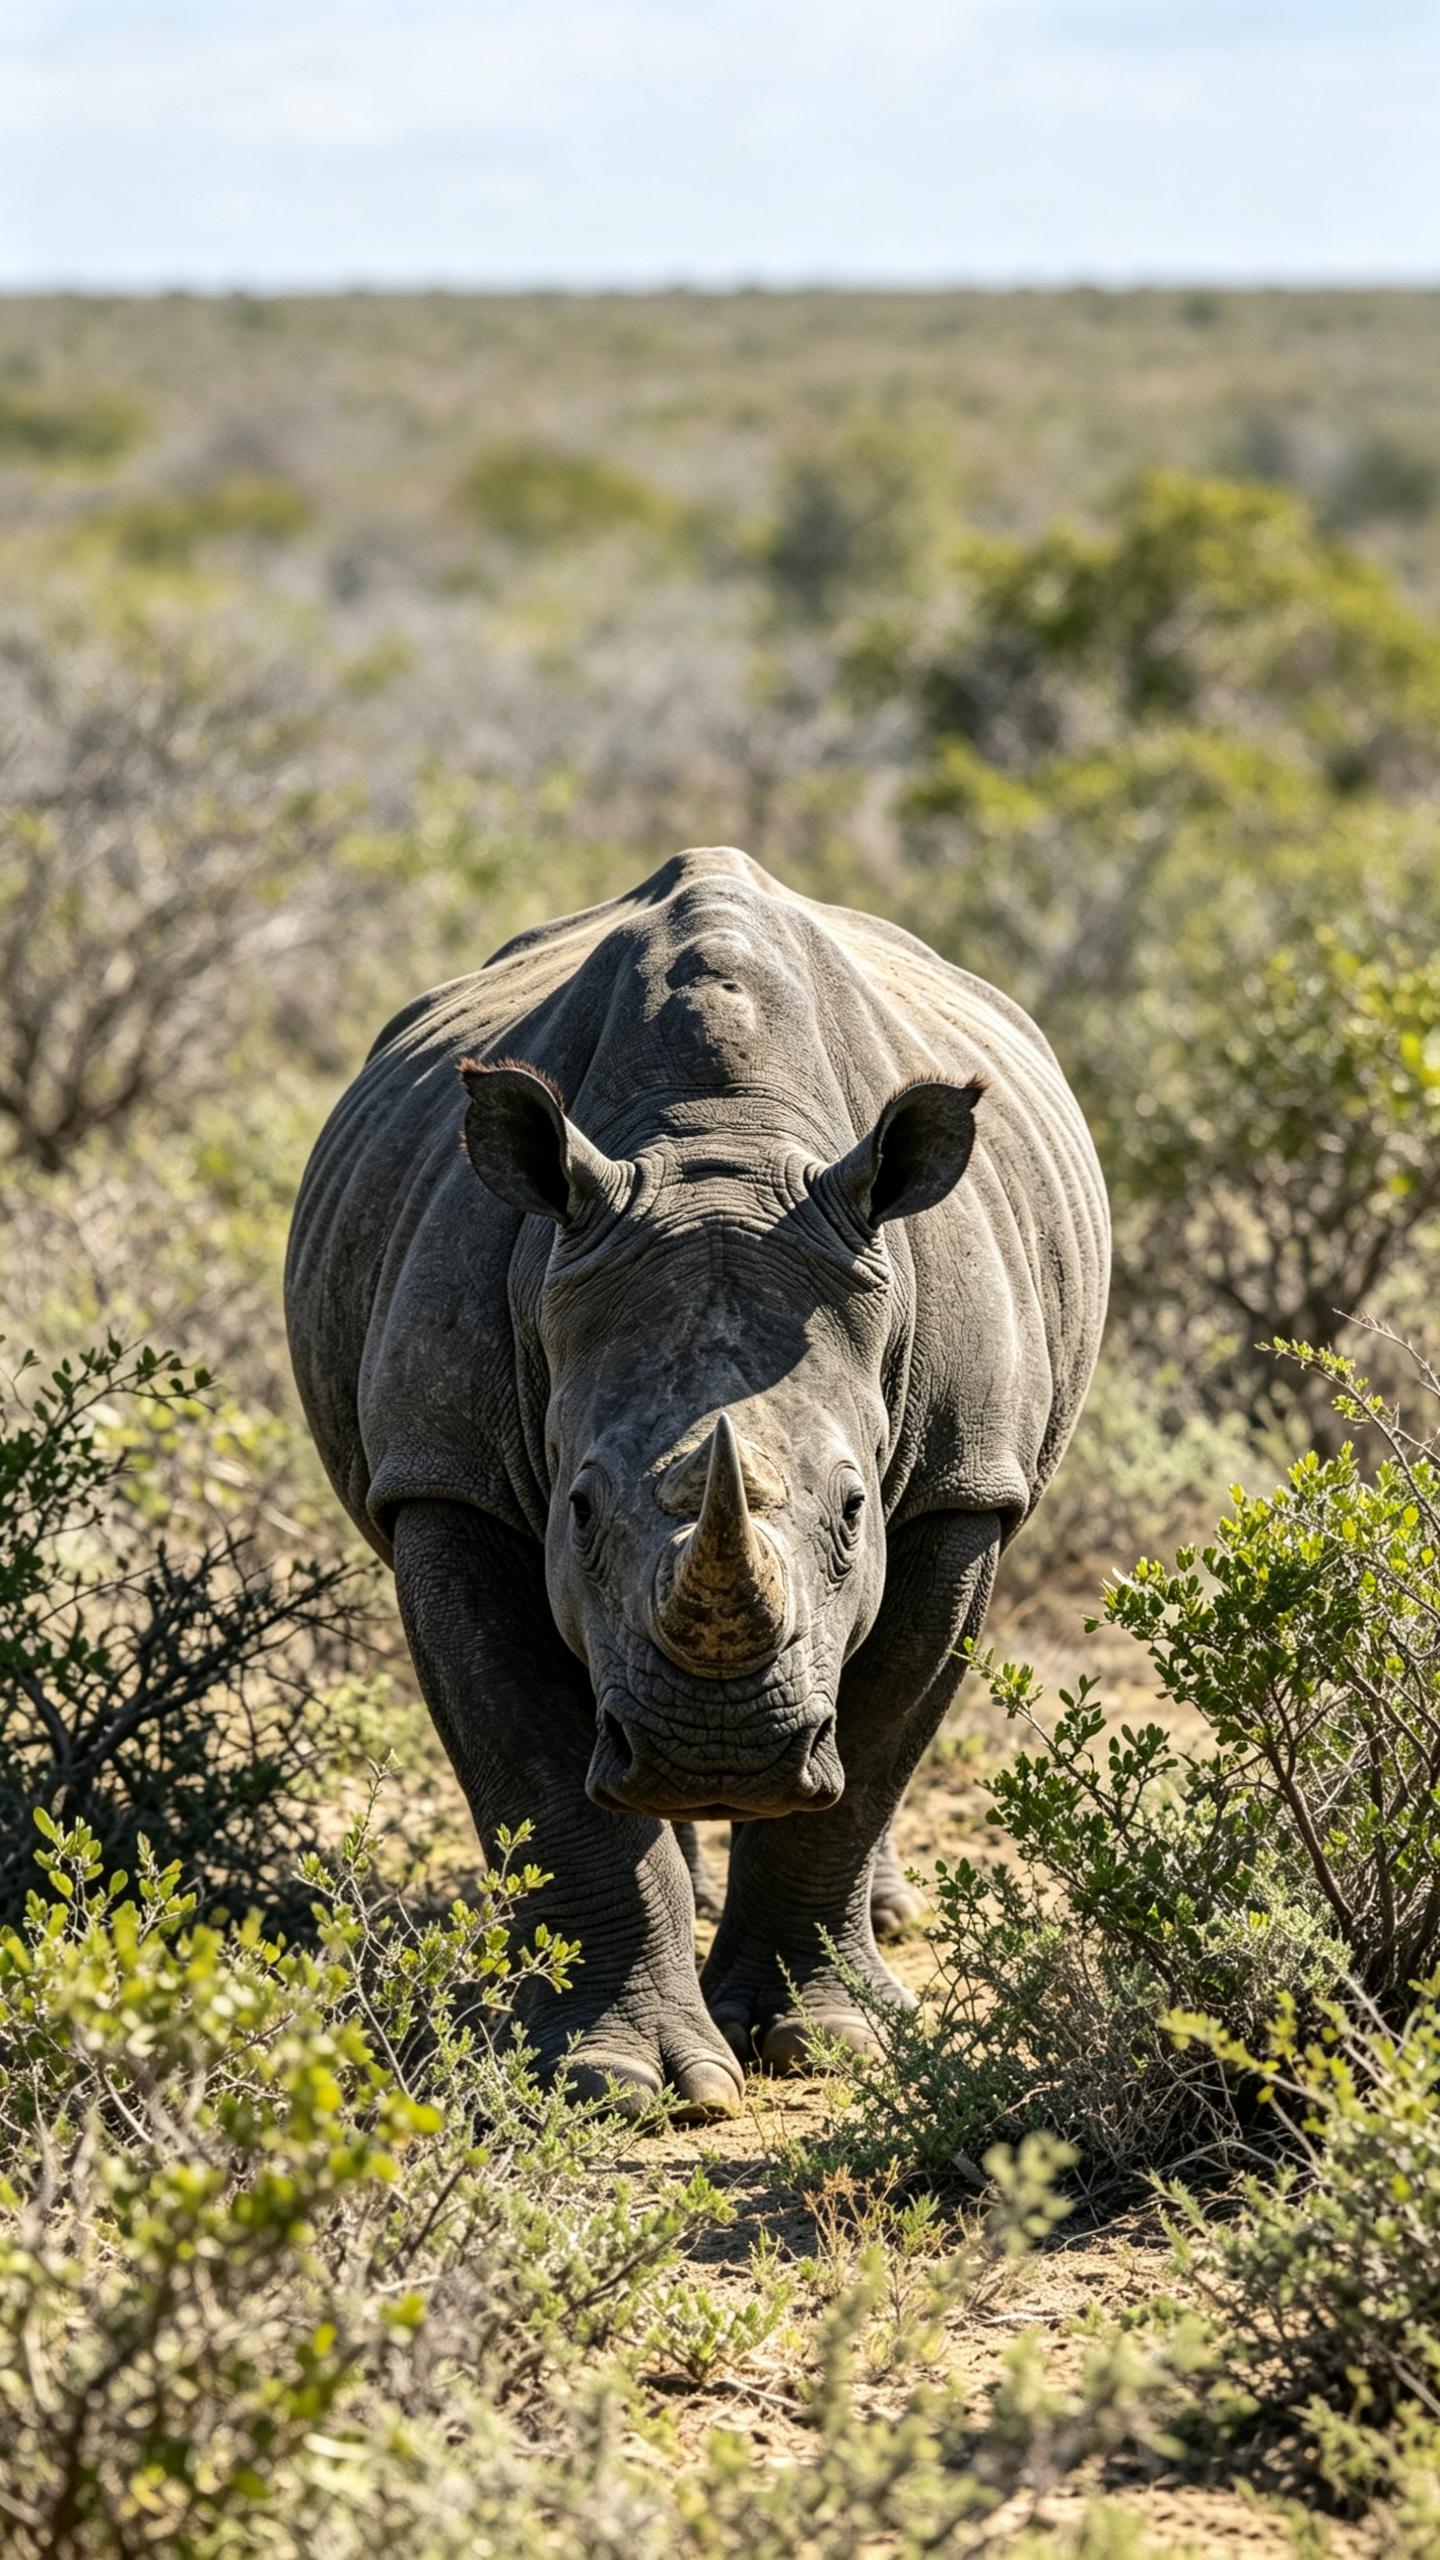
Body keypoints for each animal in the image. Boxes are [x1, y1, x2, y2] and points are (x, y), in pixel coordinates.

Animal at [286, 848, 1108, 2118]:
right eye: (577, 1510)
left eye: (855, 1510)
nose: (718, 1756)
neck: (721, 1147)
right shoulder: (443, 1479)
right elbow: (538, 1772)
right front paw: (611, 2075)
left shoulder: (965, 1486)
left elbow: (873, 1754)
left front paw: (824, 2044)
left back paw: (881, 1917)